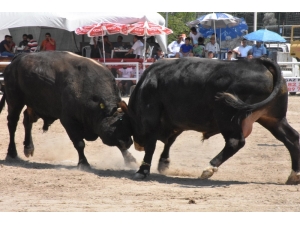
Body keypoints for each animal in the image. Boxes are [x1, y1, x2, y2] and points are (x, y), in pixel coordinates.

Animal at [0, 51, 136, 169]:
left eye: (128, 125)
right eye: (118, 125)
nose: (129, 142)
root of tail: (18, 58)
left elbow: (118, 145)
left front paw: (130, 159)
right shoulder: (68, 121)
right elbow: (79, 143)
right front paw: (83, 163)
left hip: (36, 106)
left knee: (27, 120)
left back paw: (28, 147)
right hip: (14, 101)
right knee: (12, 124)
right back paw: (12, 153)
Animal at [120, 56, 300, 185]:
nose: (137, 145)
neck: (147, 83)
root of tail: (259, 62)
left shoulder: (151, 119)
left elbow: (152, 145)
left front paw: (142, 170)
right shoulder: (176, 123)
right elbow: (169, 141)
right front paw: (164, 163)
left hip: (227, 117)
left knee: (235, 142)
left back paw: (209, 168)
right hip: (273, 119)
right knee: (292, 139)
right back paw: (294, 175)